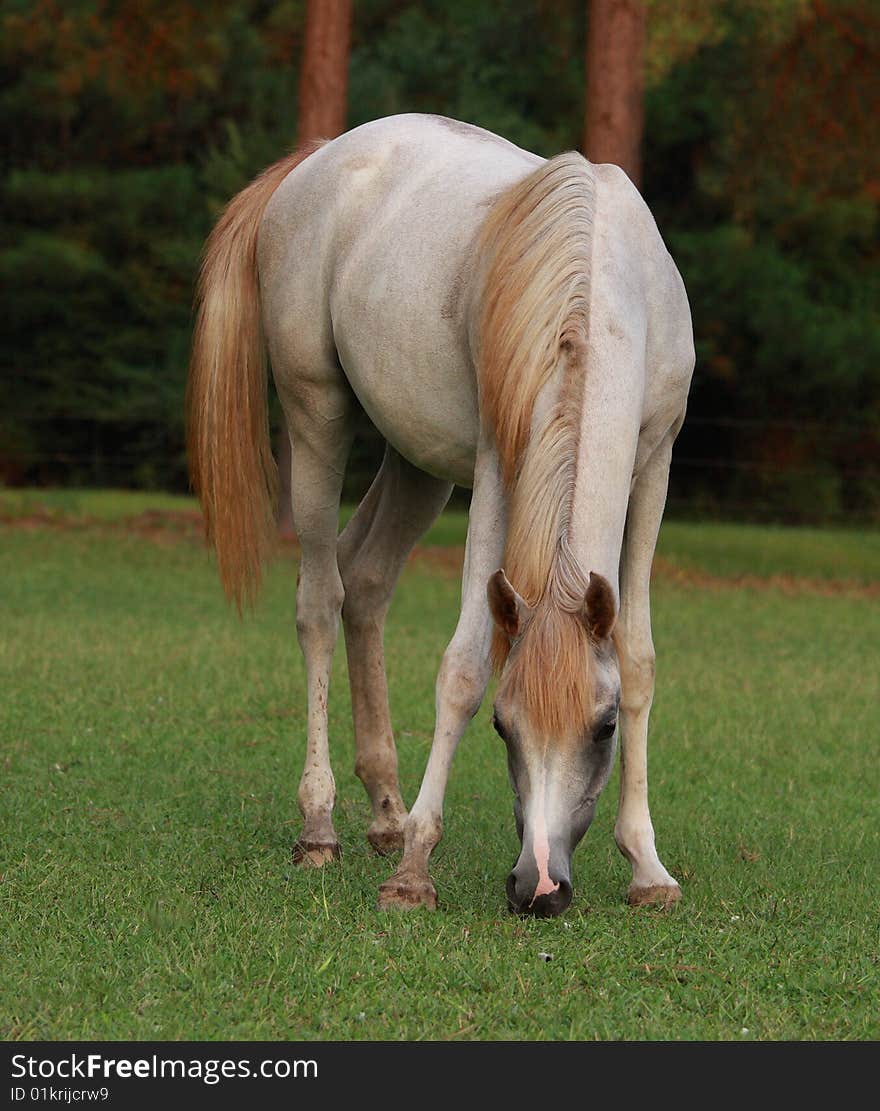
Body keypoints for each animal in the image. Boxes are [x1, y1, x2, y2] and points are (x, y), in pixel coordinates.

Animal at [187, 112, 693, 915]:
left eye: (604, 725)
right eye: (503, 725)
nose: (538, 886)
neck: (595, 287)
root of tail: (316, 160)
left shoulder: (655, 464)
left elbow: (638, 657)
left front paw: (648, 867)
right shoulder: (494, 466)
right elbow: (462, 667)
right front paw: (414, 870)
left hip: (416, 462)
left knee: (365, 581)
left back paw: (386, 810)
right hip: (317, 416)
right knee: (320, 599)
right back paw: (322, 823)